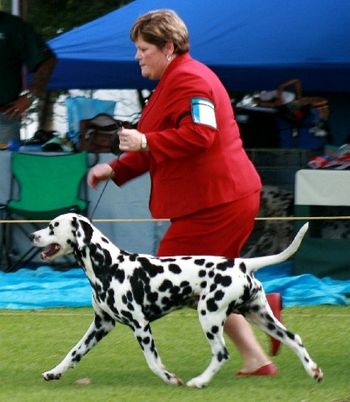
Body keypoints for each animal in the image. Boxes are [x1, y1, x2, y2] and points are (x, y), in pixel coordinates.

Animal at [30, 212, 322, 388]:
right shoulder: (101, 325)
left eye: (53, 226)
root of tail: (242, 263)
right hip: (258, 316)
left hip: (210, 316)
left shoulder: (140, 326)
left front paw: (170, 378)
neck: (109, 266)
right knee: (294, 339)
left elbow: (153, 362)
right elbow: (74, 352)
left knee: (221, 353)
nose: (34, 235)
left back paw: (199, 381)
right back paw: (314, 371)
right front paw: (54, 372)